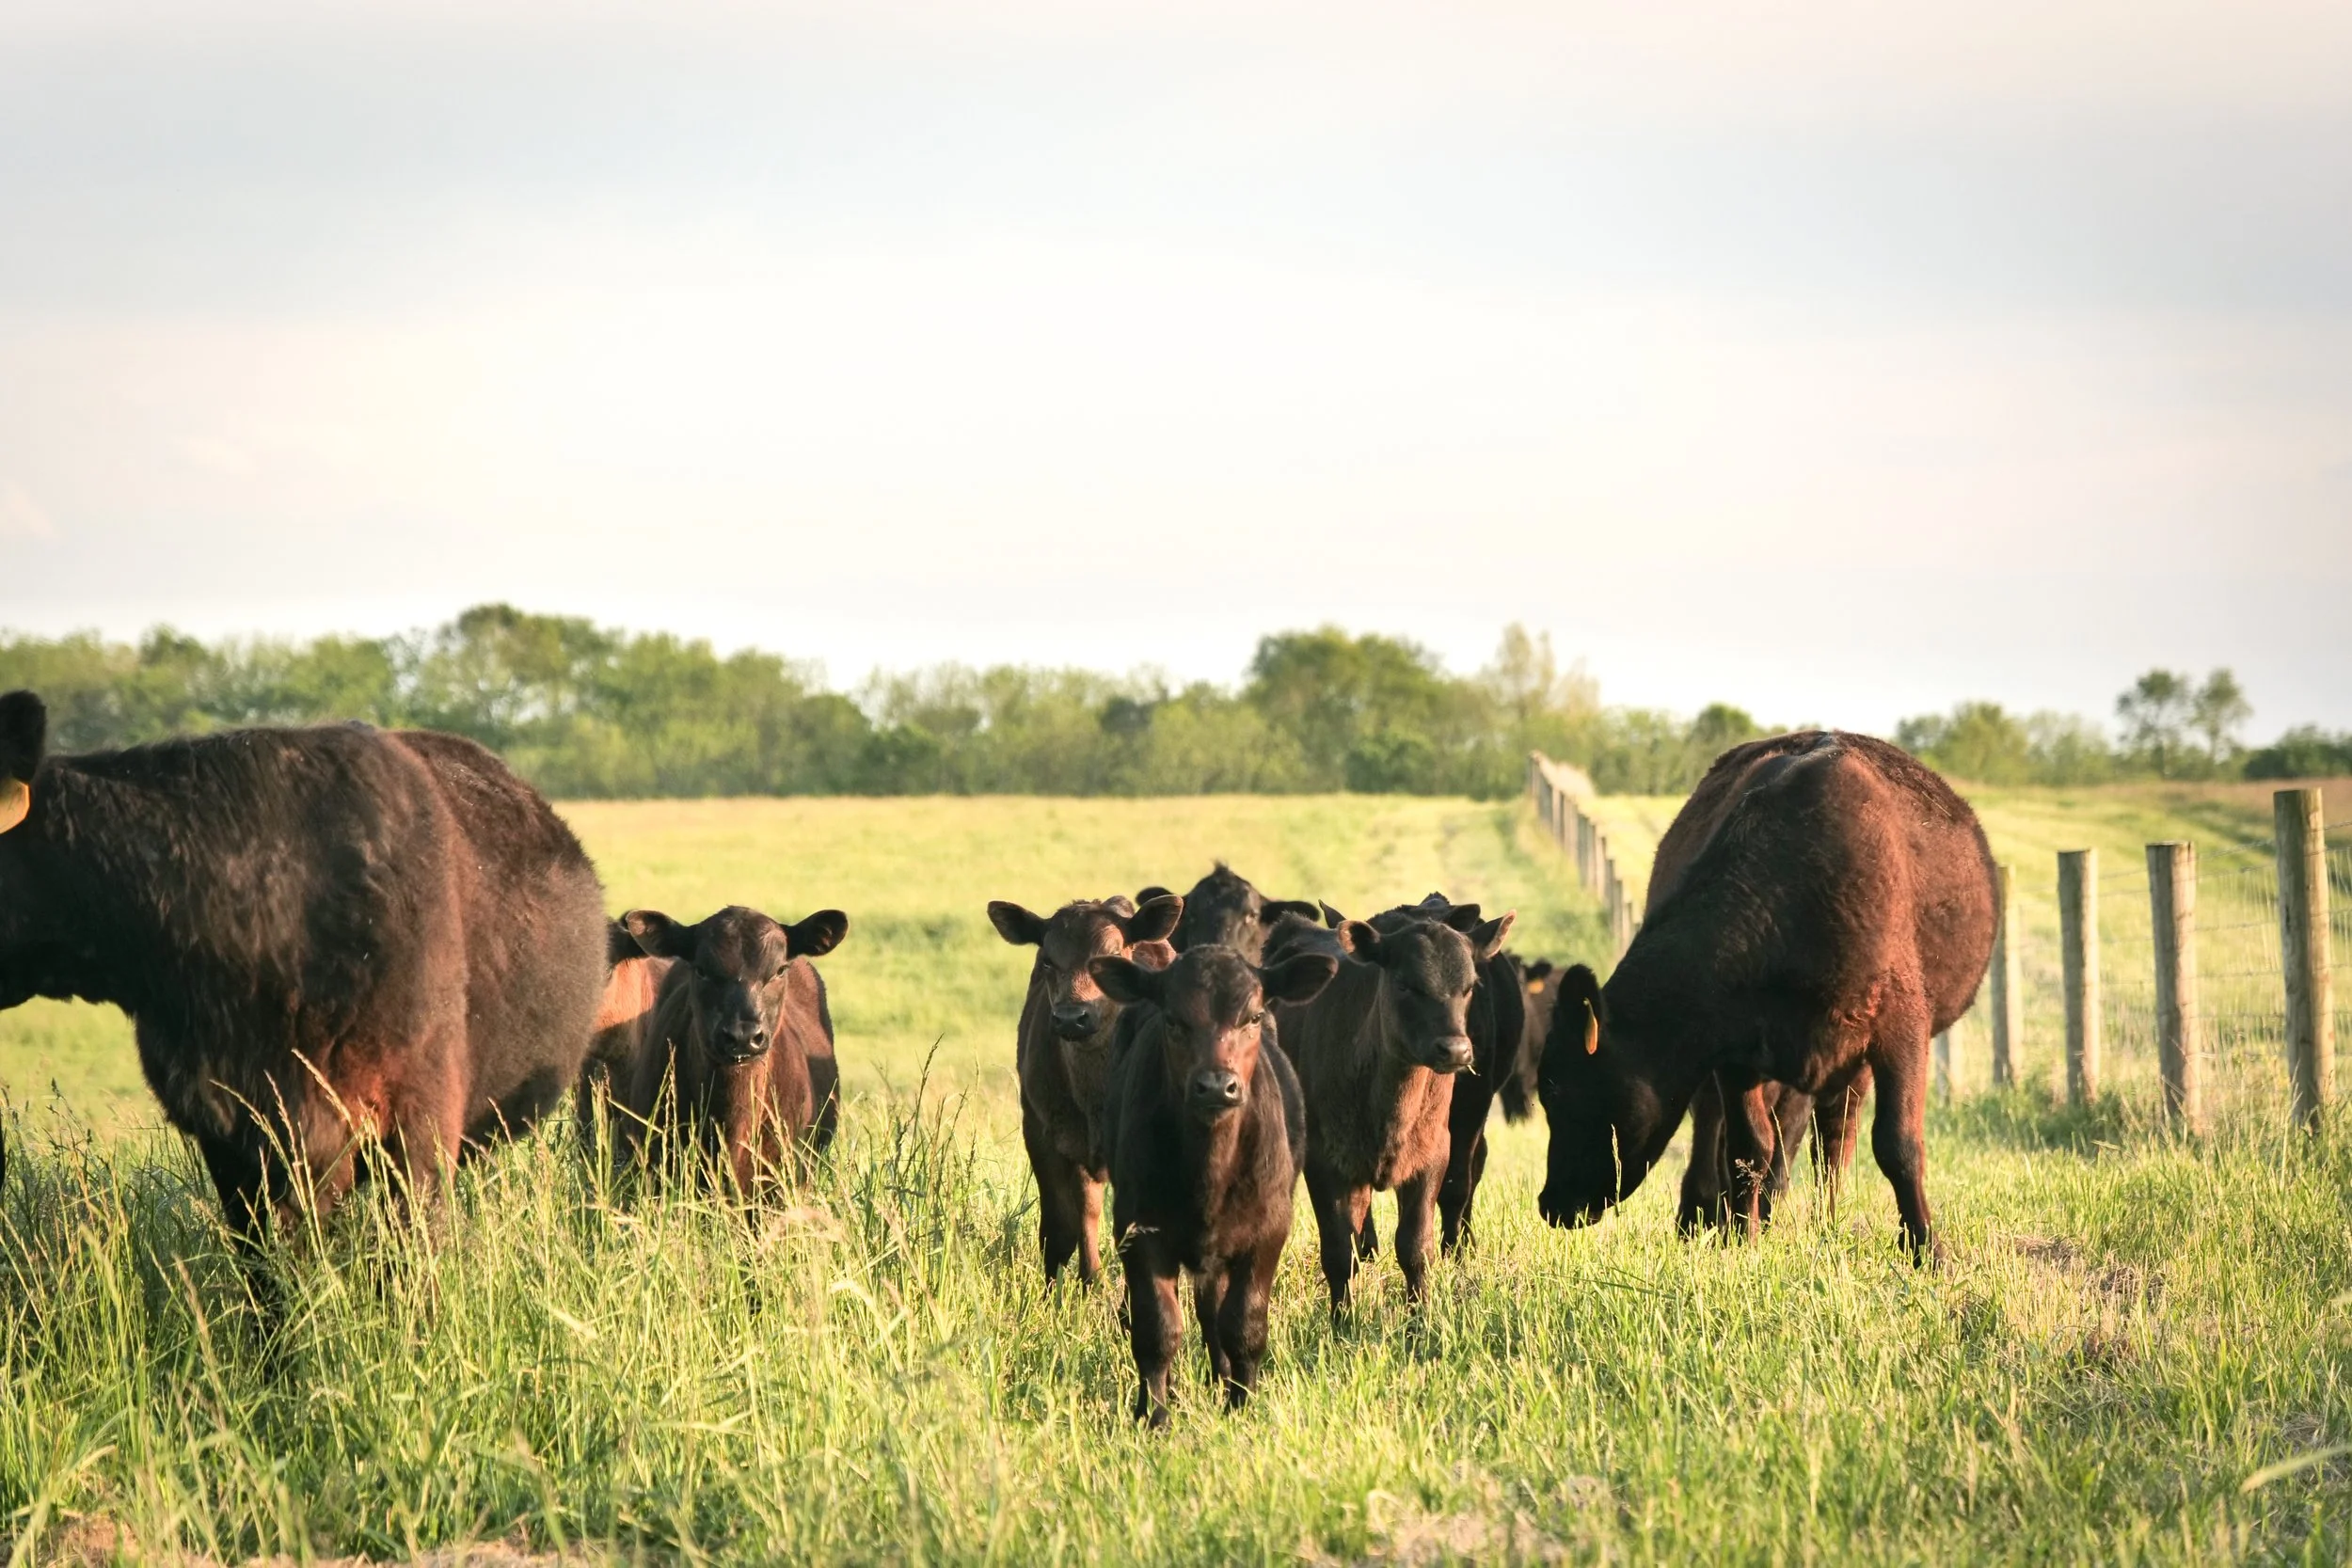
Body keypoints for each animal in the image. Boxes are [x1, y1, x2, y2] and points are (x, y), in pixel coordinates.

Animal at [988, 892, 1183, 1283]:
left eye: (1113, 955)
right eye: (1047, 960)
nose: (1071, 1017)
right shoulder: (1039, 1131)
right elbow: (1060, 1227)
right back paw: (1090, 1277)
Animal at [1091, 942, 1336, 1426]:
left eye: (1253, 1017)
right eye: (1173, 1019)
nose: (1216, 1086)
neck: (1209, 1170)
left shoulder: (1269, 1230)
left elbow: (1243, 1324)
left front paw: (1241, 1405)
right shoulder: (1137, 1229)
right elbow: (1157, 1327)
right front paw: (1154, 1416)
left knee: (1214, 1313)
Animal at [1265, 901, 1512, 1312]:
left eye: (1468, 988)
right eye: (1405, 984)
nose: (1456, 1050)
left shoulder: (1432, 1156)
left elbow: (1415, 1248)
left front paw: (1420, 1316)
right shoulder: (1325, 1162)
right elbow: (1338, 1254)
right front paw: (1342, 1320)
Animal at [1535, 731, 1996, 1259]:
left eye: (1557, 1091)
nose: (1550, 1203)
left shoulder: (1902, 1028)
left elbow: (1897, 1143)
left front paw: (1925, 1249)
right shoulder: (1737, 1051)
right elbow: (1749, 1147)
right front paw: (1742, 1239)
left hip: (1848, 1059)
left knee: (1835, 1137)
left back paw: (1826, 1220)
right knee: (1734, 1129)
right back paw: (1701, 1216)